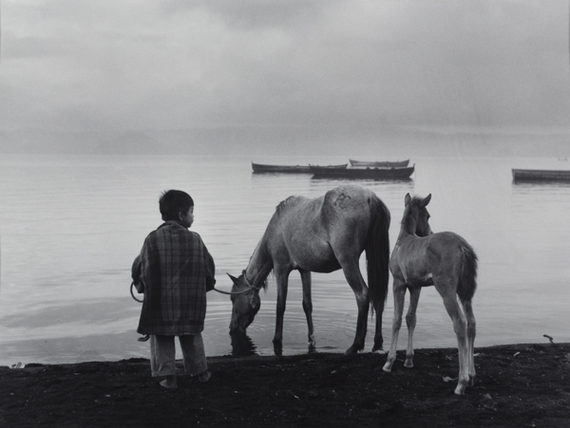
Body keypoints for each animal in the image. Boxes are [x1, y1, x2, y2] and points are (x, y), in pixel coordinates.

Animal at [382, 194, 474, 394]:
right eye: (428, 215)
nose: (430, 232)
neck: (404, 238)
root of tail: (462, 245)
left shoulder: (398, 283)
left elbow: (396, 319)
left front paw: (389, 362)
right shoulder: (415, 286)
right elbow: (411, 318)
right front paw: (409, 360)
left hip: (446, 290)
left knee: (460, 322)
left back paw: (461, 382)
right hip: (465, 293)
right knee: (471, 322)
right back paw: (471, 375)